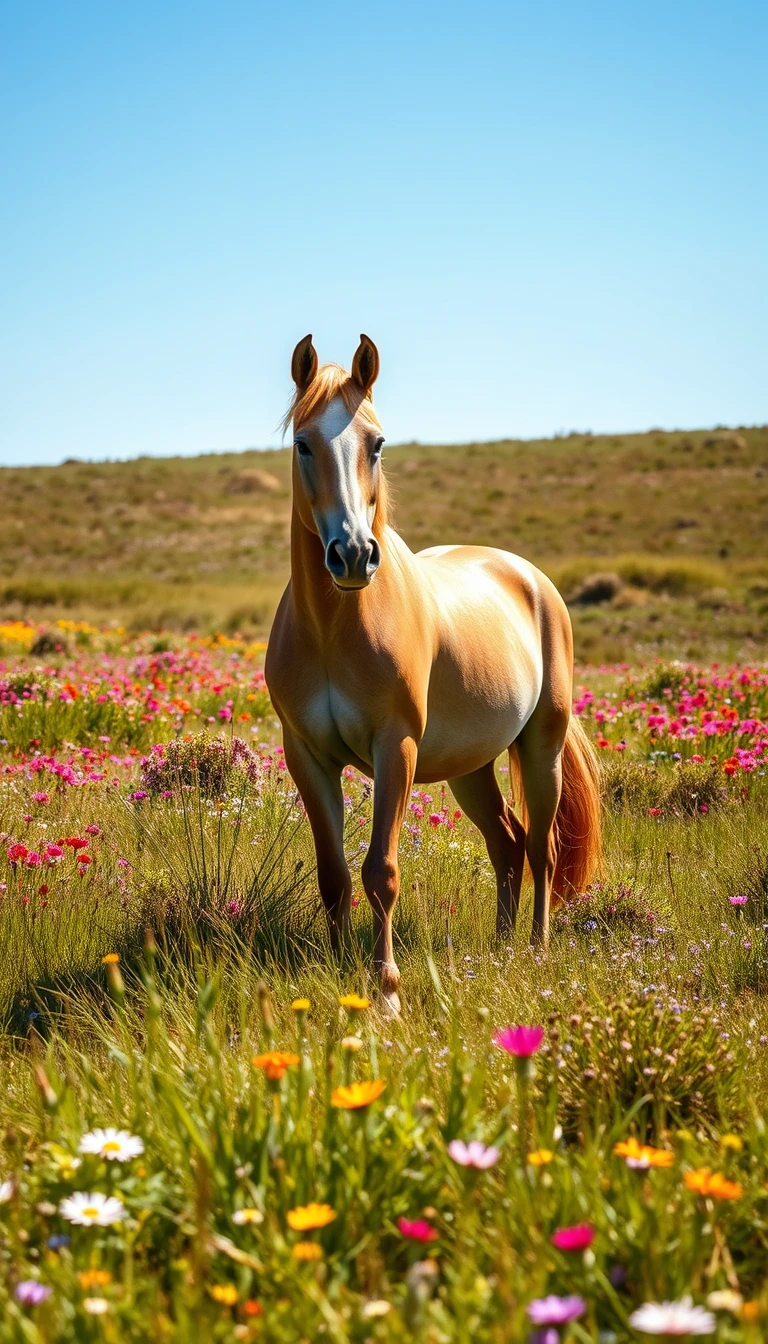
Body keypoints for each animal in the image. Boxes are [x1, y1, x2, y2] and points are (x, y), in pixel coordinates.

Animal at [265, 334, 602, 1011]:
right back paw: (500, 948)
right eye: (303, 443)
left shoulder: (395, 745)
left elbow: (381, 871)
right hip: (470, 767)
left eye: (377, 442)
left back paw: (534, 948)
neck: (334, 628)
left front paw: (387, 990)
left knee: (541, 846)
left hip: (541, 746)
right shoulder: (306, 754)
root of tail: (531, 577)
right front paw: (340, 971)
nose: (352, 555)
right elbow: (334, 873)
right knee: (506, 842)